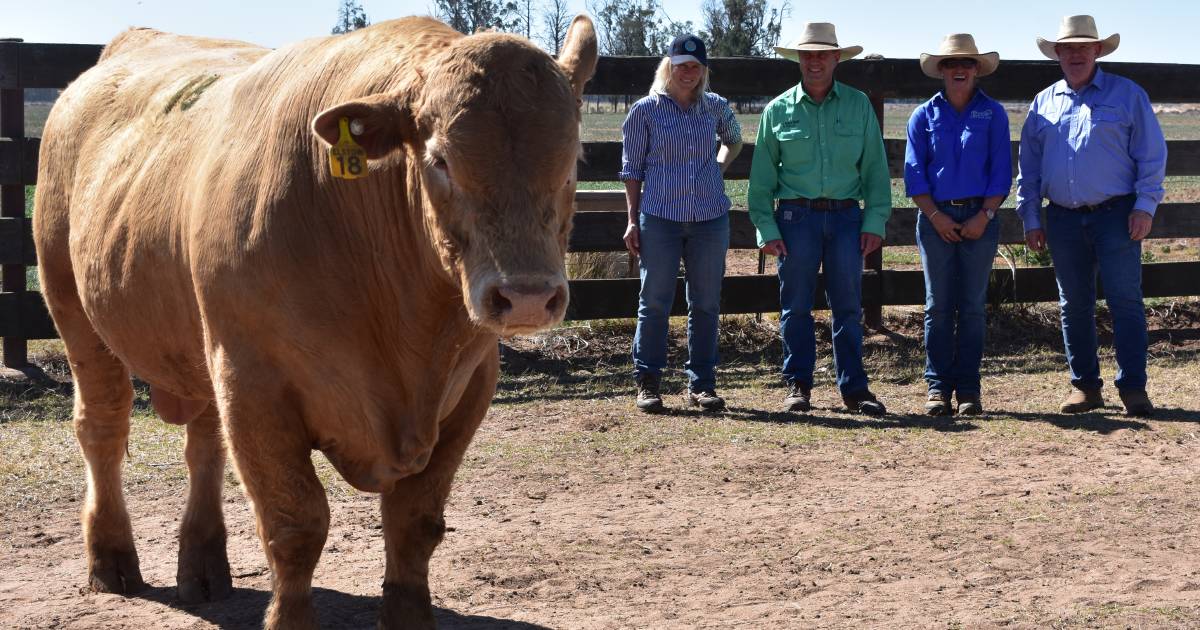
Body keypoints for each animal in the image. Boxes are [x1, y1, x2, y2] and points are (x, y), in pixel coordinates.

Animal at [35, 15, 597, 628]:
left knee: (204, 444)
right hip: (74, 308)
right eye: (440, 159)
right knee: (103, 428)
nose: (526, 296)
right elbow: (296, 526)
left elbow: (414, 522)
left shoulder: (471, 385)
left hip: (198, 342)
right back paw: (111, 558)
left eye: (574, 159)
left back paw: (203, 565)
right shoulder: (255, 384)